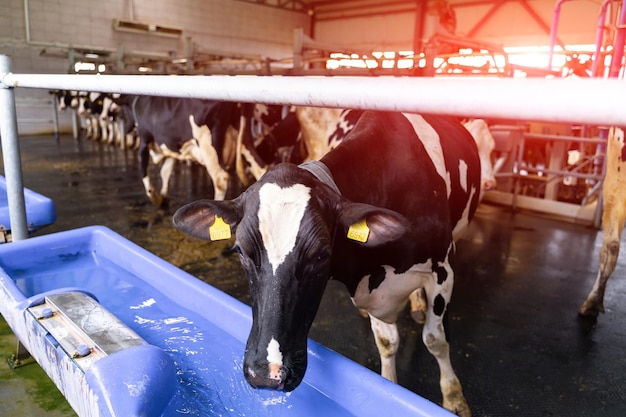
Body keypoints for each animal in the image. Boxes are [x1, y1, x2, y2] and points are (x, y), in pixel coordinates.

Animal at [173, 110, 480, 416]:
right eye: (240, 251)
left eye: (321, 254)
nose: (266, 373)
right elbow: (386, 342)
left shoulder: (443, 270)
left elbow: (435, 339)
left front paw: (454, 398)